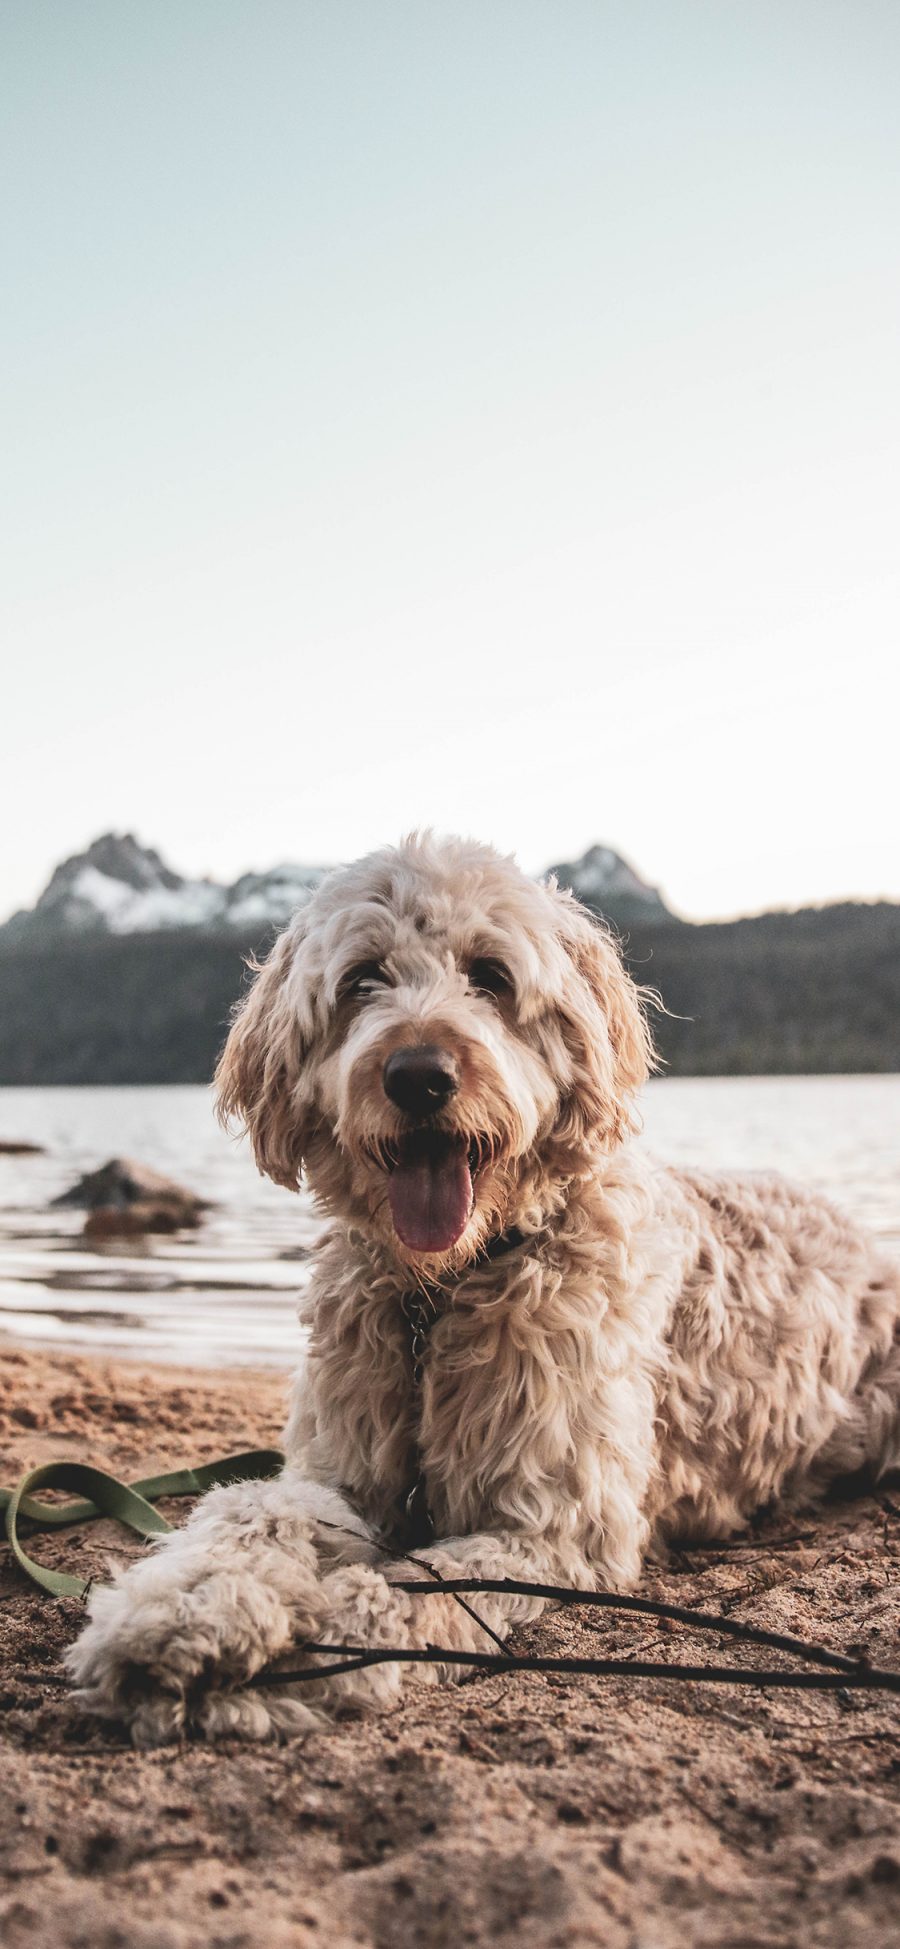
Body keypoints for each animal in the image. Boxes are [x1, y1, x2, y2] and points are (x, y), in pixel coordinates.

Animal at [66, 830, 900, 1746]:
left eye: (492, 975)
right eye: (363, 977)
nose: (418, 1074)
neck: (441, 1292)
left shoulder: (553, 1525)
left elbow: (416, 1591)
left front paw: (304, 1649)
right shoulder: (340, 1470)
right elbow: (251, 1512)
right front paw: (179, 1611)